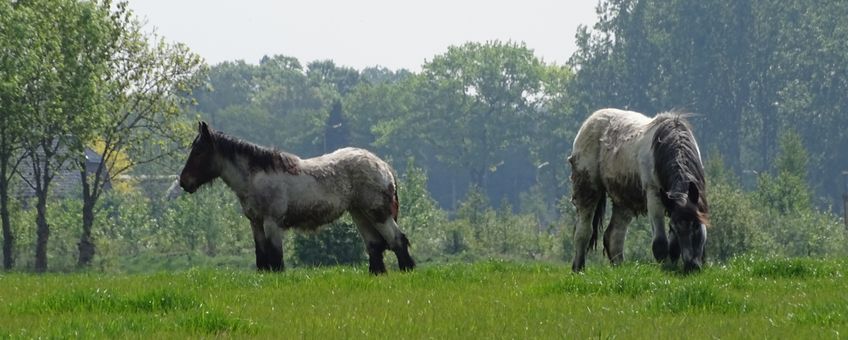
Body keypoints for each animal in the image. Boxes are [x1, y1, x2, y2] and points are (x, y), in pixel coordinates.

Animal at [180, 121, 418, 274]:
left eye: (199, 151)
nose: (184, 182)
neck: (256, 177)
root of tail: (383, 166)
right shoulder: (255, 223)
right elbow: (261, 257)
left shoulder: (272, 222)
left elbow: (275, 258)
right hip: (360, 214)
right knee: (375, 245)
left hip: (378, 214)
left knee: (397, 240)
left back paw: (407, 270)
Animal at [568, 107, 708, 272]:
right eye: (675, 227)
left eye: (697, 225)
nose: (692, 266)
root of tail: (590, 121)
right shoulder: (654, 196)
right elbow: (660, 243)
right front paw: (665, 267)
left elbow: (673, 246)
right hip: (587, 189)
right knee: (583, 232)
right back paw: (578, 268)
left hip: (624, 202)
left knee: (614, 236)